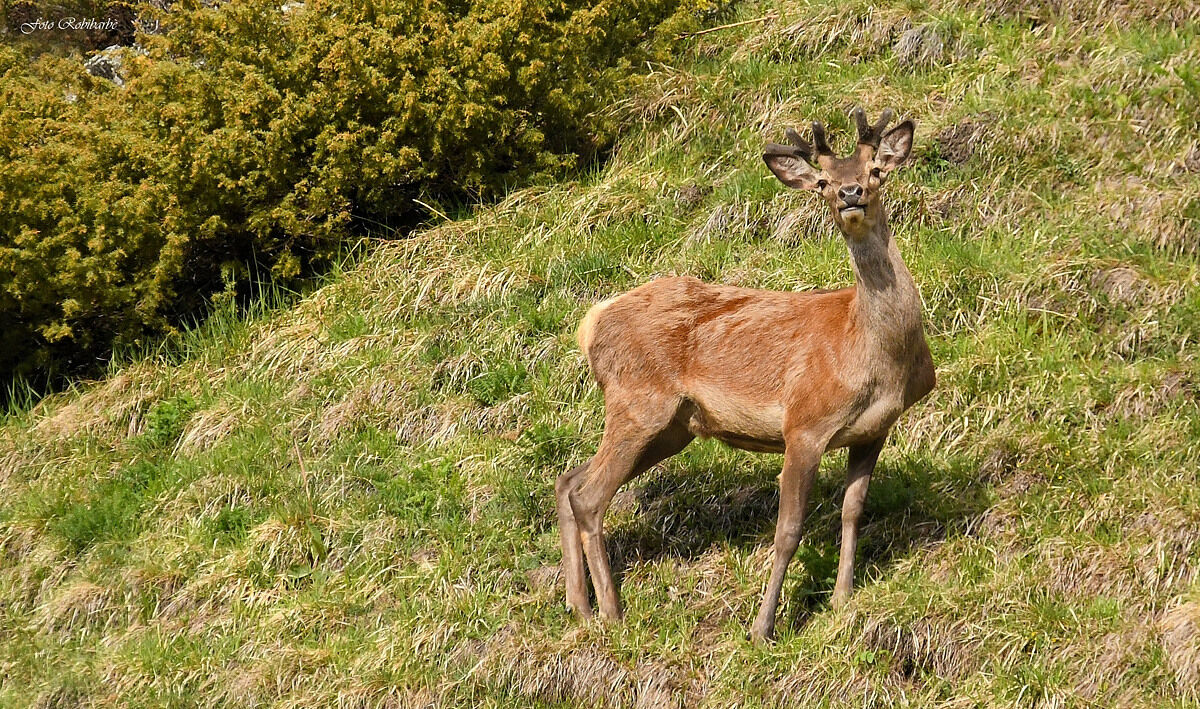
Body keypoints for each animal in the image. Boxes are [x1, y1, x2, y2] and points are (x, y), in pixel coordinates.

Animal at [555, 107, 935, 643]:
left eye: (875, 170)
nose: (850, 193)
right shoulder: (804, 423)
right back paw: (611, 612)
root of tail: (589, 323)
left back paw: (579, 607)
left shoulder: (873, 429)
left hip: (673, 426)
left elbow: (852, 511)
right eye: (822, 180)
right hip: (638, 400)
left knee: (568, 480)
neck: (873, 354)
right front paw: (763, 627)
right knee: (589, 496)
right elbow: (788, 531)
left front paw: (841, 600)